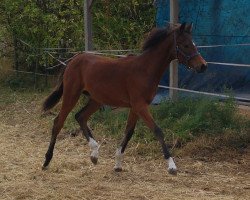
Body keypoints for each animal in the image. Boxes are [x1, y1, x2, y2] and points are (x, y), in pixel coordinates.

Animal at [42, 22, 207, 174]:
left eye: (193, 44)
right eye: (185, 45)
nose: (203, 66)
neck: (145, 69)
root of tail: (73, 60)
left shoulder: (135, 107)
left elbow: (129, 132)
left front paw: (118, 164)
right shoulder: (140, 105)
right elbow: (157, 131)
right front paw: (172, 166)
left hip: (96, 100)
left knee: (80, 116)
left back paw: (94, 154)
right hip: (72, 95)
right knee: (58, 122)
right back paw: (46, 161)